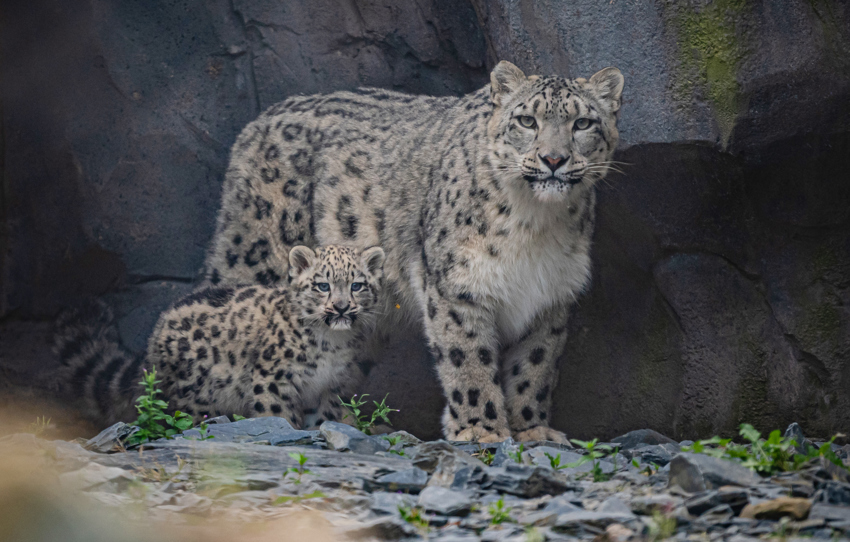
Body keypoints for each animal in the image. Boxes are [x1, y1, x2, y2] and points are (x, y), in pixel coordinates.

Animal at [54, 245, 385, 428]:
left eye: (356, 285)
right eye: (322, 285)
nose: (341, 307)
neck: (331, 343)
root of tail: (156, 333)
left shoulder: (331, 387)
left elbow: (323, 419)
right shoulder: (274, 380)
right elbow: (277, 415)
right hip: (196, 396)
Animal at [203, 61, 624, 443]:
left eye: (582, 124)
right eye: (526, 121)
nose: (554, 159)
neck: (535, 224)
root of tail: (258, 122)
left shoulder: (550, 295)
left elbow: (534, 367)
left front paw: (531, 430)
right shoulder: (457, 286)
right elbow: (468, 360)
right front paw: (481, 431)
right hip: (261, 258)